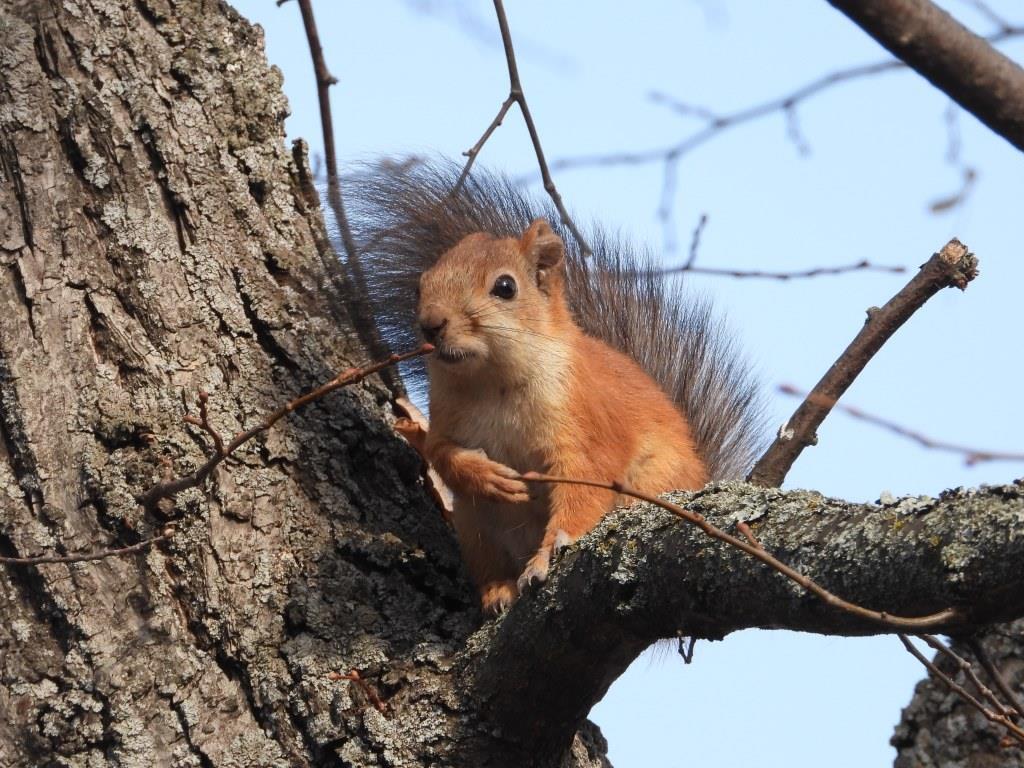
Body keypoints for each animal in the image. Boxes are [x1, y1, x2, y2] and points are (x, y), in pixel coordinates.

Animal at [348, 159, 765, 618]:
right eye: (420, 286)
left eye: (505, 287)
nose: (431, 324)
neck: (491, 384)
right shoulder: (446, 417)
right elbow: (440, 452)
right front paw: (486, 475)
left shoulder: (581, 429)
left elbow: (583, 486)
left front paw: (547, 555)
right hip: (475, 530)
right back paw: (497, 591)